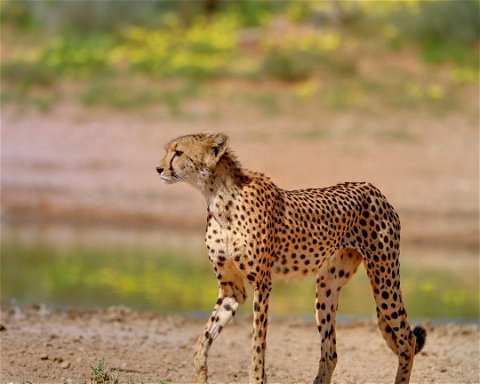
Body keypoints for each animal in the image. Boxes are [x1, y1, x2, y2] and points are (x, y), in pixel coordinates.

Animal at [156, 133, 426, 384]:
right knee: (330, 353)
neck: (218, 197)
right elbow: (204, 337)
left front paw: (256, 377)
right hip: (327, 287)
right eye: (168, 150)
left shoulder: (262, 284)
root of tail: (372, 188)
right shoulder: (232, 288)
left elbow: (258, 345)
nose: (159, 169)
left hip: (384, 278)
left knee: (407, 338)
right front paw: (200, 371)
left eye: (178, 152)